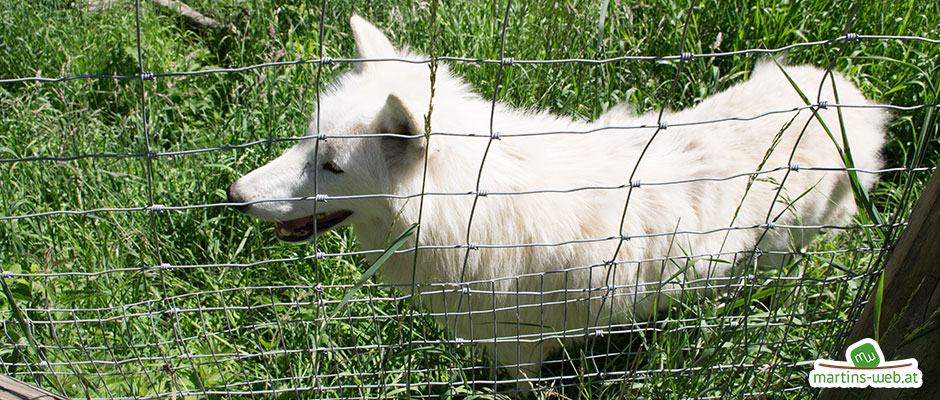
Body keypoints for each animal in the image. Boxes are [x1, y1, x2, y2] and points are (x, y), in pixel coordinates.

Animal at [229, 15, 888, 382]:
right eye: (303, 142)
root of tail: (855, 97)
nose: (233, 195)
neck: (465, 210)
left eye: (331, 166)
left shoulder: (520, 347)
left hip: (791, 261)